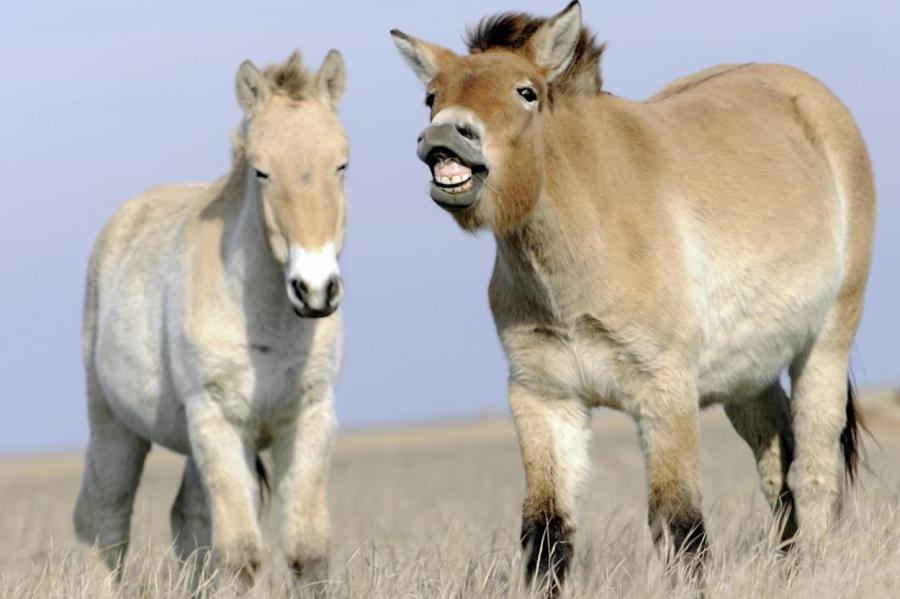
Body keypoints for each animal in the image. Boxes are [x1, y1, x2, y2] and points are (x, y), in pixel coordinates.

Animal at [74, 49, 348, 592]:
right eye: (262, 172)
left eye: (342, 164)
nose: (315, 289)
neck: (267, 322)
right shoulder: (217, 418)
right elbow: (241, 554)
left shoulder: (308, 417)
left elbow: (307, 551)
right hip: (115, 426)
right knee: (110, 522)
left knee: (188, 519)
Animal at [390, 2, 876, 596]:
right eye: (431, 96)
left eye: (527, 92)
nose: (446, 136)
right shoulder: (544, 398)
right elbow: (546, 530)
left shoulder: (665, 392)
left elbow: (680, 524)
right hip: (748, 376)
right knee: (777, 468)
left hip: (825, 344)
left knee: (813, 472)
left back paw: (814, 570)